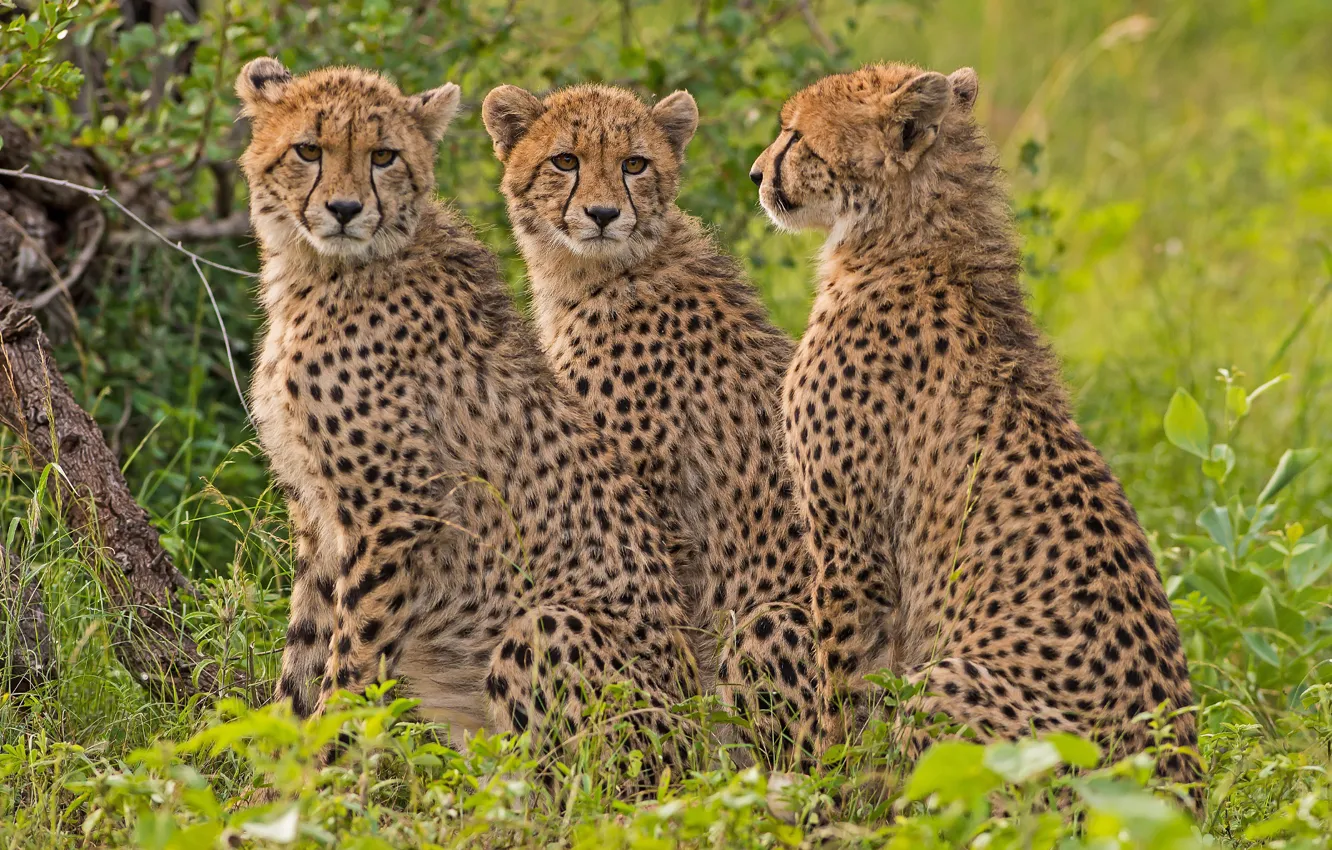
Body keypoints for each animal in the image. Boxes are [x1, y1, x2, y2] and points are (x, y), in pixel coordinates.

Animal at [235, 58, 700, 783]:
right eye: (308, 150)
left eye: (384, 156)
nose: (344, 210)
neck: (319, 268)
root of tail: (702, 745)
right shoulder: (318, 519)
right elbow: (301, 660)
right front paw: (271, 785)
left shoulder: (395, 515)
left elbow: (350, 665)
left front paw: (325, 782)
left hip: (547, 630)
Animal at [482, 83, 822, 768]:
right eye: (565, 161)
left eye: (634, 164)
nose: (603, 214)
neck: (609, 271)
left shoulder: (652, 515)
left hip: (775, 622)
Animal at [749, 62, 1200, 805]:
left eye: (796, 135)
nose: (757, 173)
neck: (913, 240)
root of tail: (1176, 794)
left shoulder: (853, 550)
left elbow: (844, 691)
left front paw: (831, 795)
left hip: (951, 684)